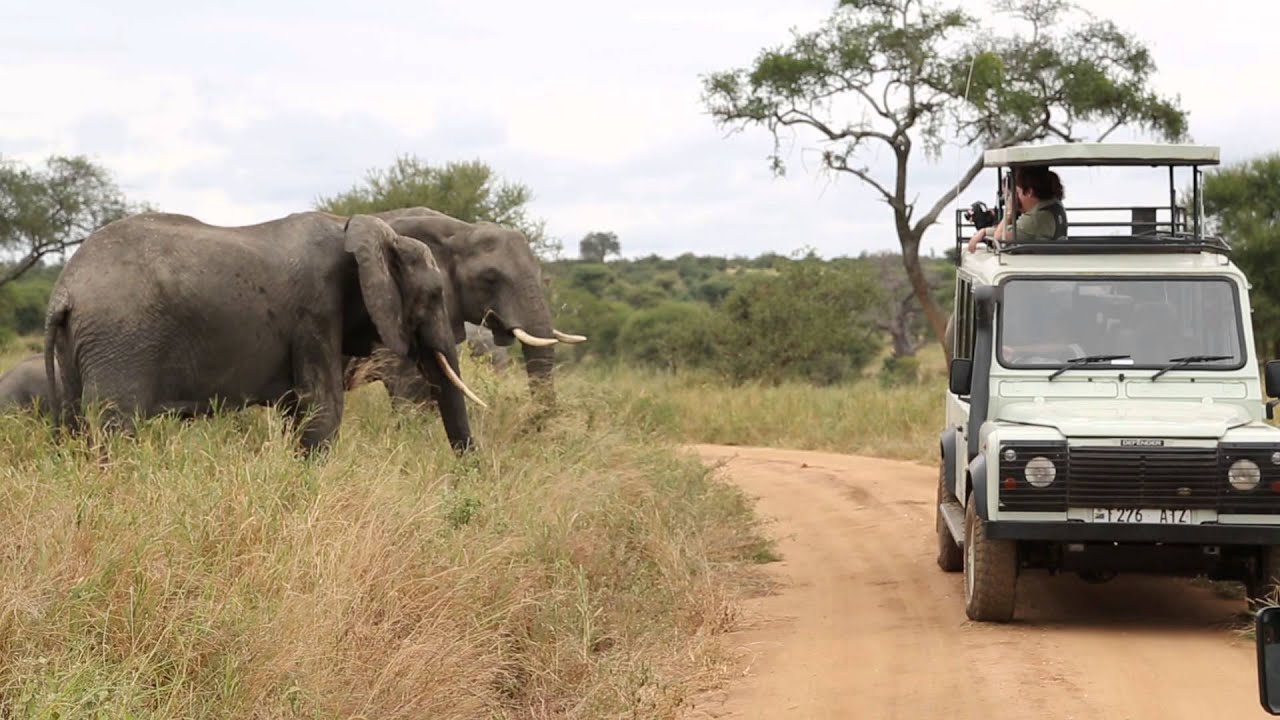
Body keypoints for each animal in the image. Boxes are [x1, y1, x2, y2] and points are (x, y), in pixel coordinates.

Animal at [43, 211, 483, 452]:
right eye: (434, 295)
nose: (469, 477)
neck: (357, 229)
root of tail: (63, 292)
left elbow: (299, 411)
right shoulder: (316, 310)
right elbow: (322, 410)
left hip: (81, 346)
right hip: (119, 340)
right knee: (115, 426)